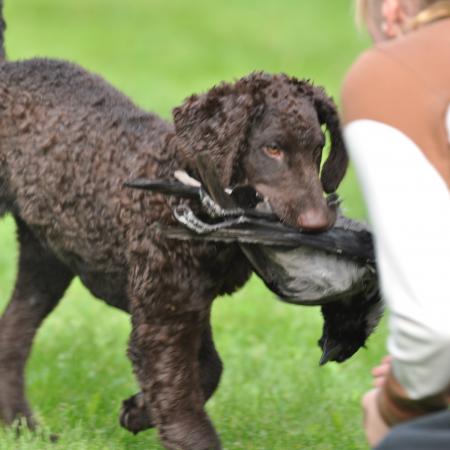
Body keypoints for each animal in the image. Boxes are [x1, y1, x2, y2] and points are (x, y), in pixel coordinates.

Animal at [0, 1, 348, 448]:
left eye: (318, 149)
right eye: (272, 149)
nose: (319, 224)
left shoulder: (187, 301)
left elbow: (208, 371)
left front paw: (136, 411)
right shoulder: (165, 310)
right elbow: (181, 392)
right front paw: (163, 421)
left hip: (47, 256)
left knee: (13, 332)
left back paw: (22, 426)